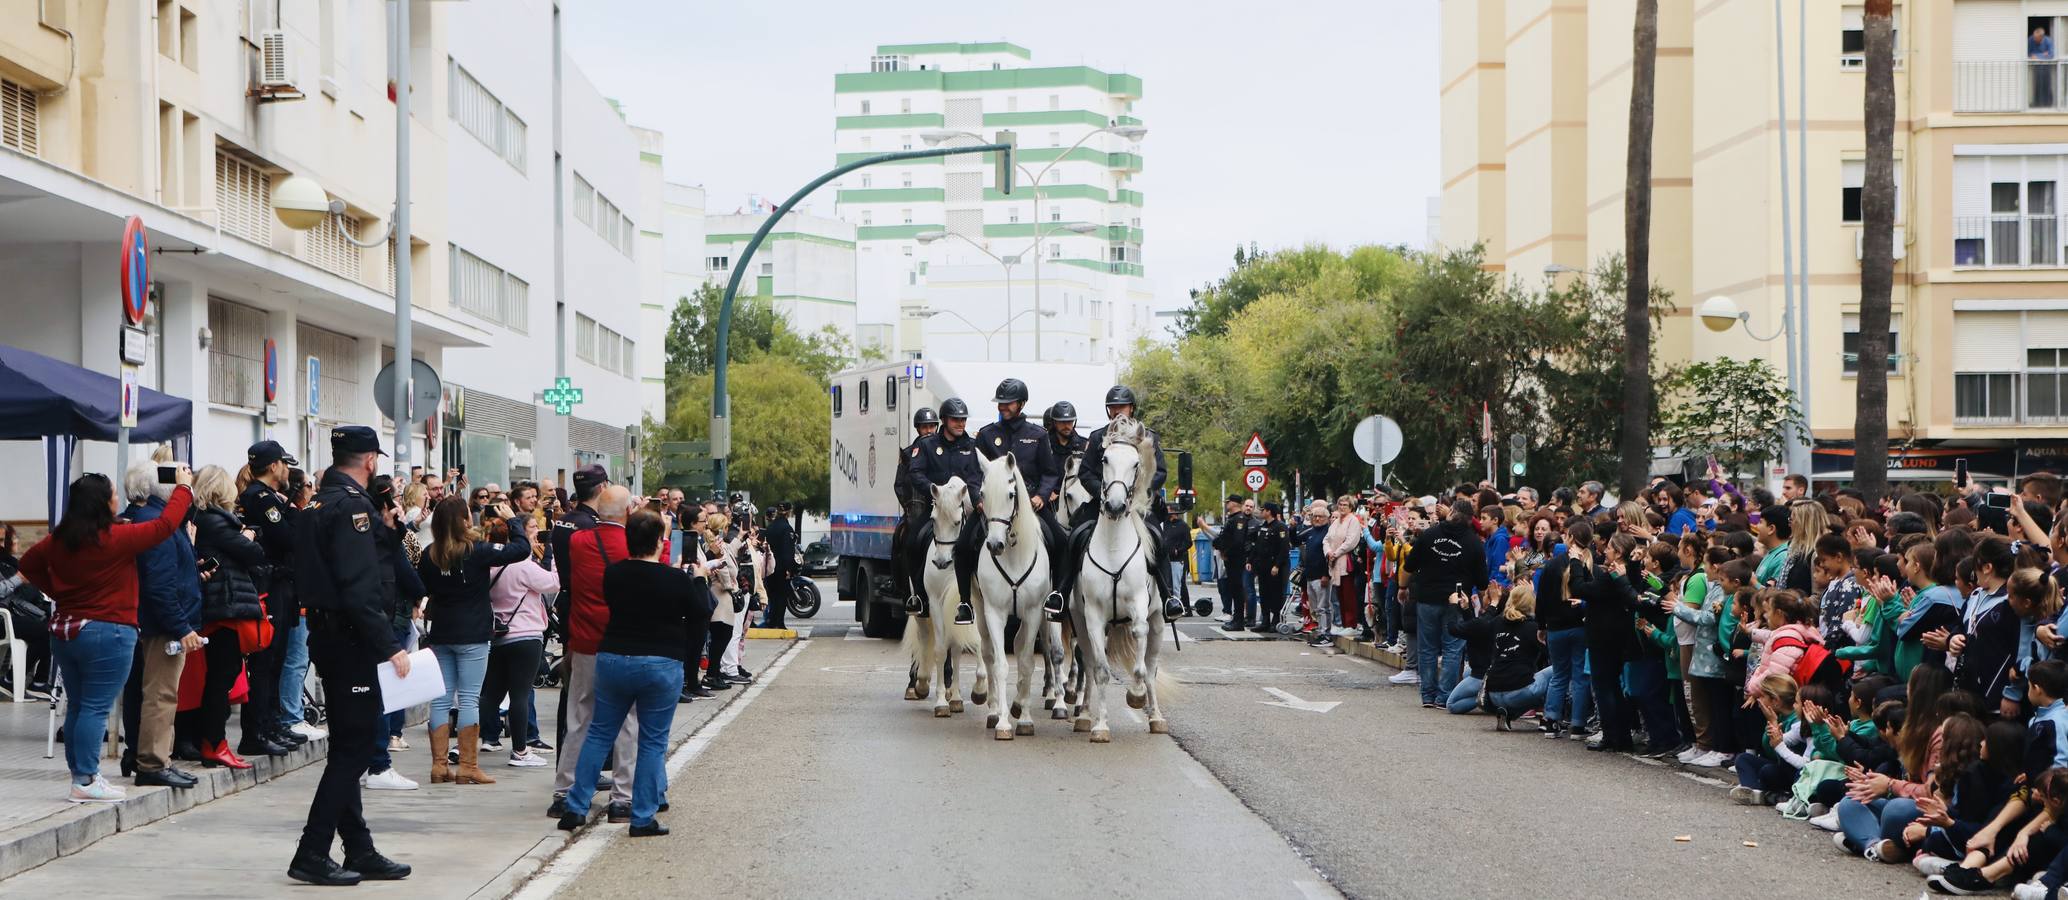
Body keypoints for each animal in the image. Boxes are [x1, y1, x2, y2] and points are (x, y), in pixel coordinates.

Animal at [897, 479, 984, 720]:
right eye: (934, 519)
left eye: (957, 521)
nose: (941, 562)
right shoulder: (936, 604)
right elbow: (938, 650)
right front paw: (940, 702)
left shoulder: (970, 605)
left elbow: (973, 643)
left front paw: (978, 691)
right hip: (920, 607)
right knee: (926, 637)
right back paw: (921, 684)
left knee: (955, 649)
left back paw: (955, 697)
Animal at [971, 455, 1050, 744]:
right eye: (982, 494)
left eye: (1011, 494)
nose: (995, 545)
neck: (1014, 555)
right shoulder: (994, 612)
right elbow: (1001, 665)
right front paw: (1003, 722)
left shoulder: (1034, 611)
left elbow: (1026, 663)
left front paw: (1025, 717)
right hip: (979, 608)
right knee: (988, 653)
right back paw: (994, 710)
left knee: (1018, 645)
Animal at [1075, 419, 1174, 744]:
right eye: (1104, 459)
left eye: (1136, 463)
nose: (1116, 506)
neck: (1114, 547)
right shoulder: (1093, 615)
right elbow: (1101, 671)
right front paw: (1100, 726)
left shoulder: (1139, 606)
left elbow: (1142, 666)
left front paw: (1136, 695)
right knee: (1088, 663)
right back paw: (1083, 716)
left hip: (1158, 623)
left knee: (1152, 665)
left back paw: (1156, 717)